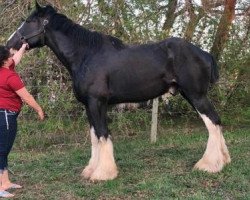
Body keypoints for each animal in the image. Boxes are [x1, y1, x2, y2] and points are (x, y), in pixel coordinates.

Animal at [6, 1, 230, 180]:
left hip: (196, 95)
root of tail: (204, 53)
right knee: (217, 123)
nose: (9, 44)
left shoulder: (97, 102)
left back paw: (208, 165)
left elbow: (103, 134)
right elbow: (95, 136)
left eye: (28, 21)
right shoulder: (90, 105)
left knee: (213, 123)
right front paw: (90, 170)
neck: (86, 55)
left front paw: (103, 174)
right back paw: (224, 160)